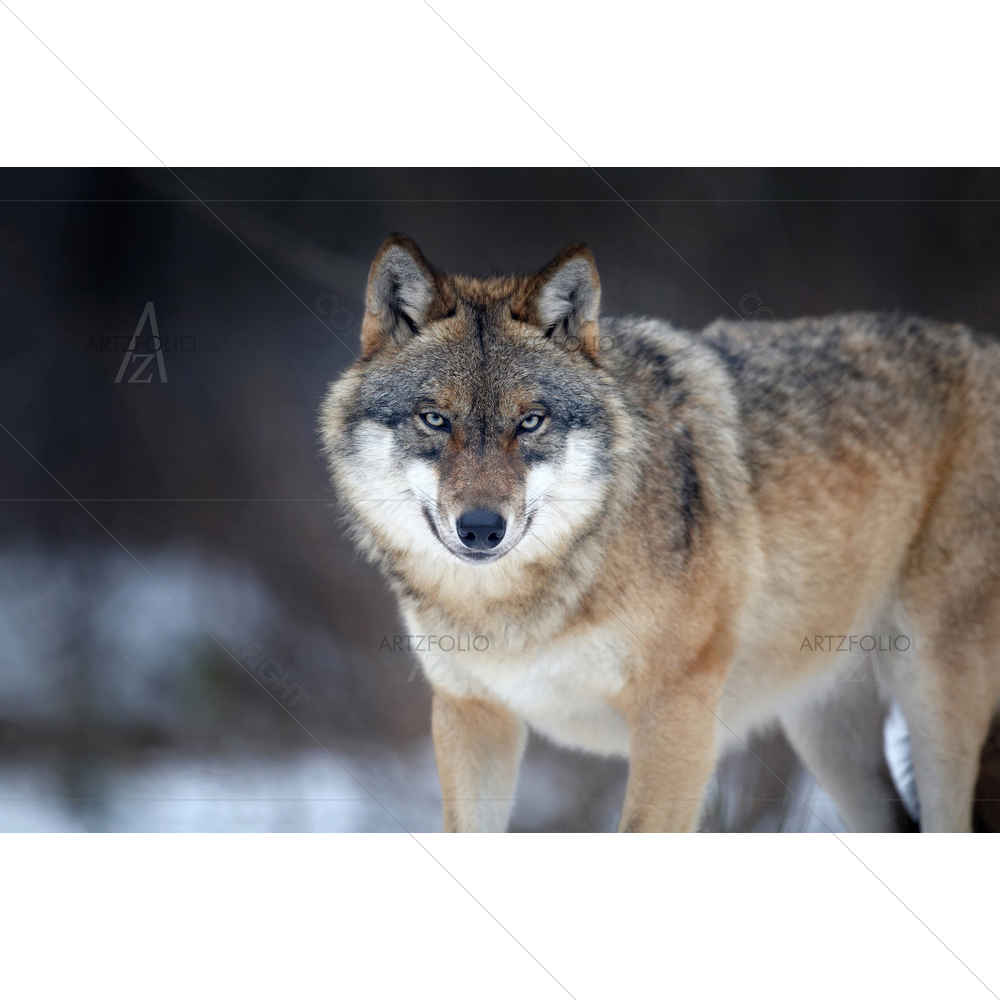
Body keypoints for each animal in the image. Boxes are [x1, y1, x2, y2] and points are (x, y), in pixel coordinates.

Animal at [320, 233, 1000, 832]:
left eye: (531, 422)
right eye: (434, 419)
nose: (482, 529)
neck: (516, 611)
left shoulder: (677, 710)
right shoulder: (472, 713)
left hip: (931, 694)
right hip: (825, 731)